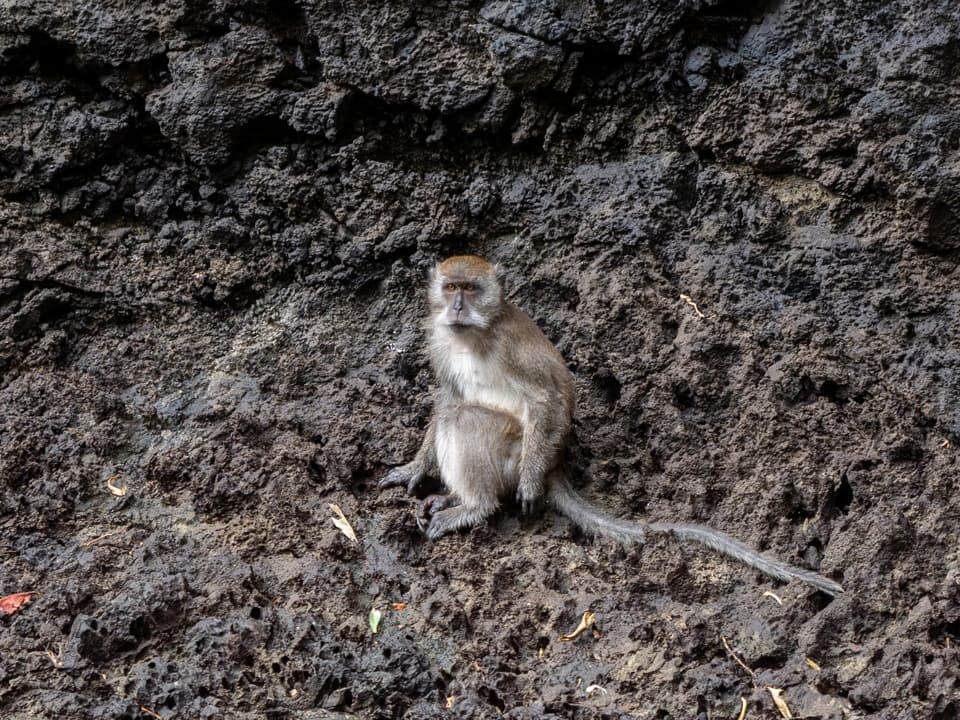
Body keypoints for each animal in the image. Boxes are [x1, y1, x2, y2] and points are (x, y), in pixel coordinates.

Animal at [381, 255, 844, 596]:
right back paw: (453, 497)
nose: (457, 306)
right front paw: (414, 469)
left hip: (514, 452)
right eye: (450, 288)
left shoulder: (509, 345)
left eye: (471, 289)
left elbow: (546, 398)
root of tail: (554, 467)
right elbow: (447, 395)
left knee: (468, 419)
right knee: (454, 411)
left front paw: (523, 487)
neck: (474, 335)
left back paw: (477, 504)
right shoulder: (440, 341)